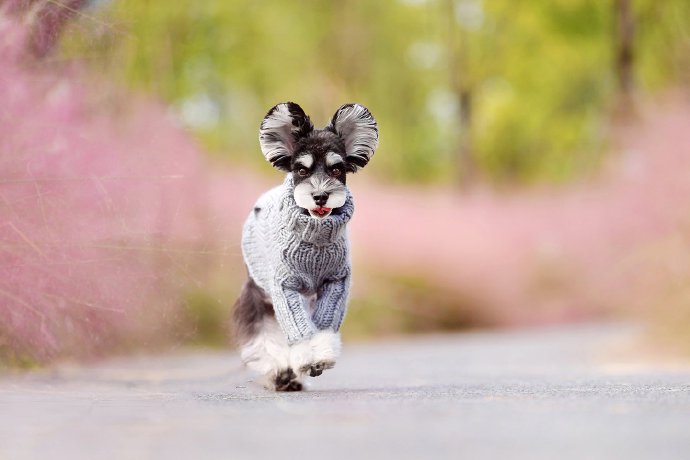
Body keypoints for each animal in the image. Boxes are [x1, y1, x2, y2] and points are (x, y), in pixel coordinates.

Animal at [234, 102, 378, 390]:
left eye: (336, 170)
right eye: (302, 170)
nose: (320, 195)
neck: (316, 238)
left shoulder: (335, 283)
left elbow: (322, 323)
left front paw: (319, 356)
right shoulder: (283, 286)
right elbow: (292, 329)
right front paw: (303, 357)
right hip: (260, 289)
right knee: (266, 334)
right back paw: (281, 373)